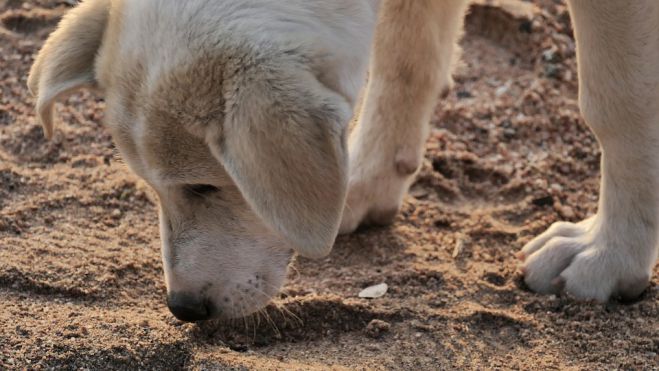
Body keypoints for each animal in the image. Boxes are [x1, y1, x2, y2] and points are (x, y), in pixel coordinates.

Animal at [28, 0, 656, 322]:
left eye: (204, 187)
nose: (181, 309)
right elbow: (405, 57)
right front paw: (364, 184)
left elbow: (617, 102)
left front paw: (609, 253)